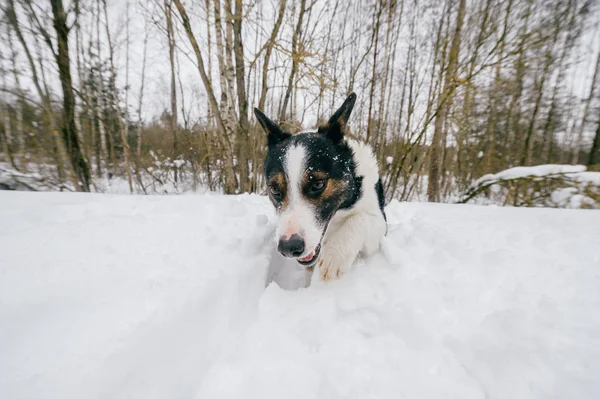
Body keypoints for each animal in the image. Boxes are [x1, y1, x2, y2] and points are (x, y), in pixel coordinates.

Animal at [252, 93, 384, 282]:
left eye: (318, 184)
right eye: (275, 189)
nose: (289, 247)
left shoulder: (379, 221)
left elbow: (360, 218)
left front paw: (335, 254)